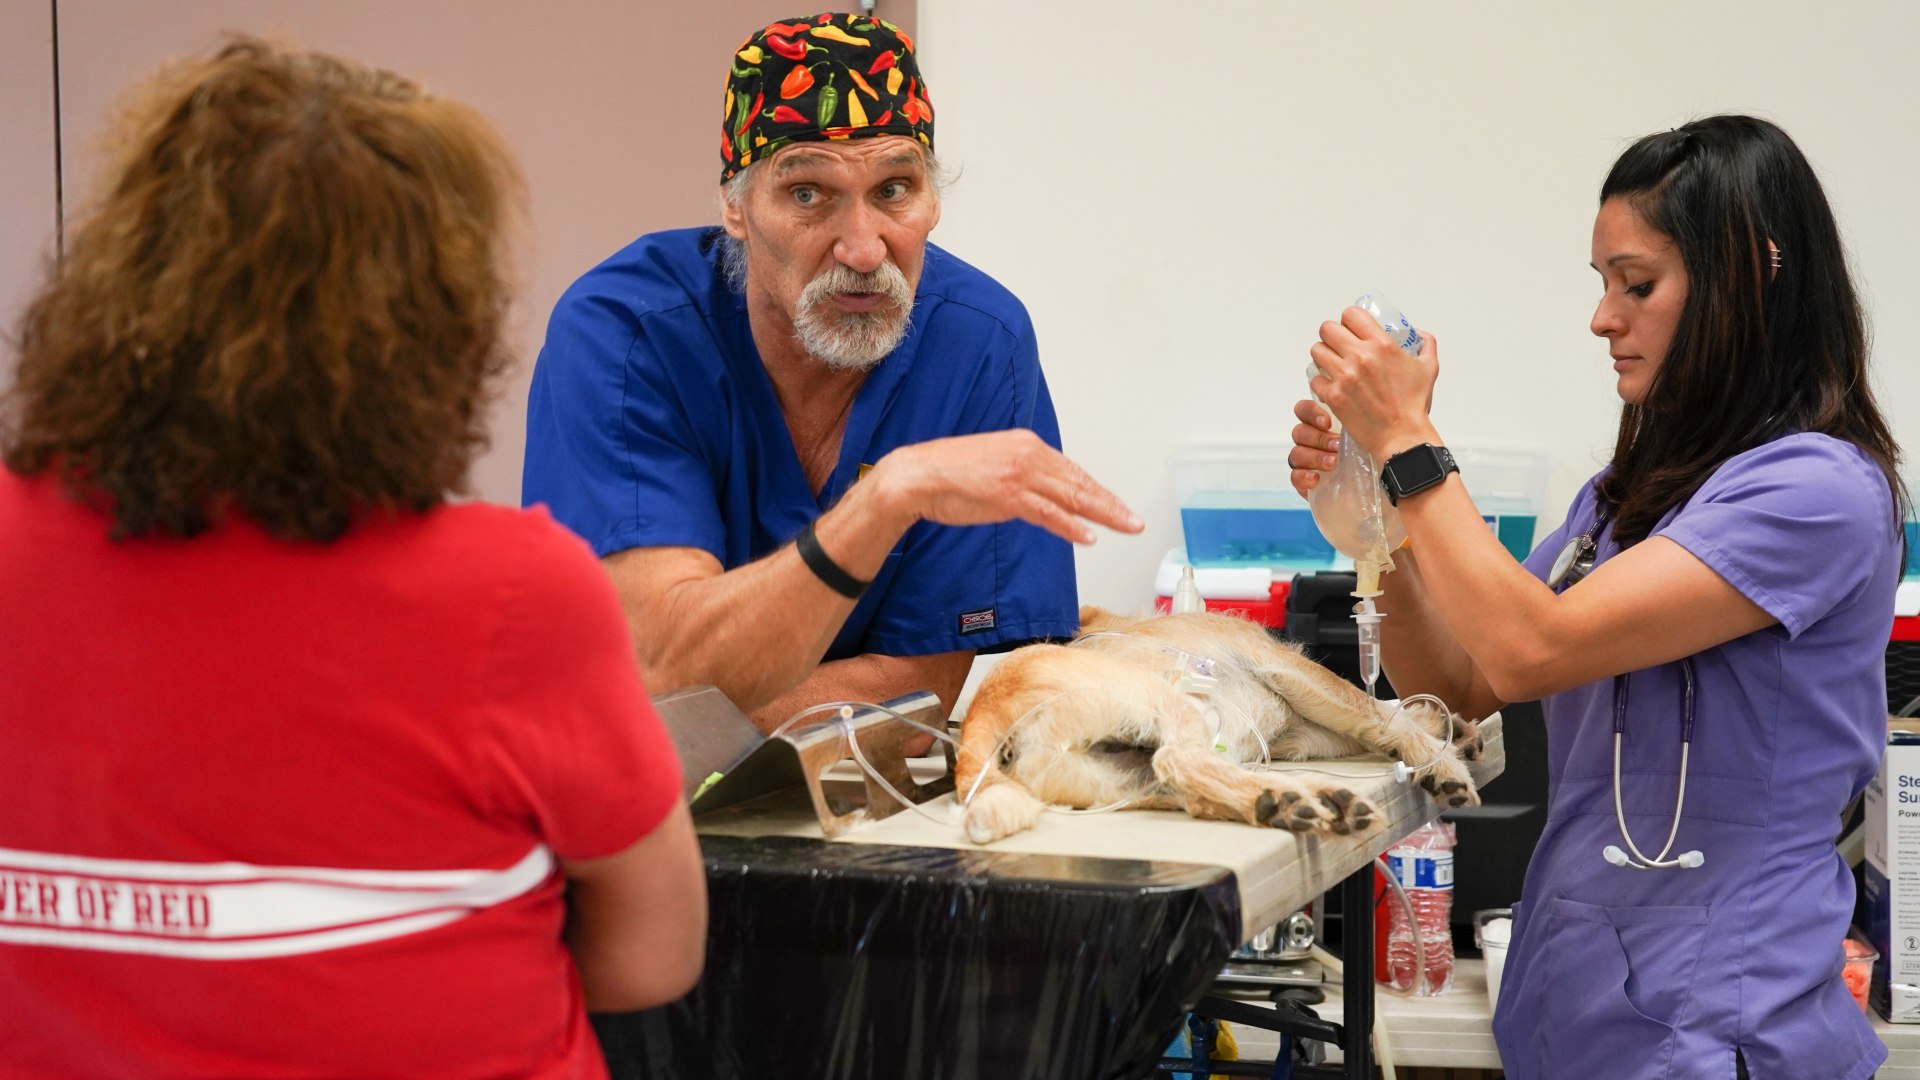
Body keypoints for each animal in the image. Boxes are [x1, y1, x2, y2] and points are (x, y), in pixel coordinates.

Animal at [953, 606, 1483, 845]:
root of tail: (984, 712)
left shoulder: (1301, 730)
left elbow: (1377, 717)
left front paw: (1447, 724)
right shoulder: (1288, 670)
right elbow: (1373, 710)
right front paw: (1442, 761)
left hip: (1121, 780)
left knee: (1191, 787)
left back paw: (1290, 802)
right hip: (1164, 705)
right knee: (1179, 759)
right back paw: (1295, 799)